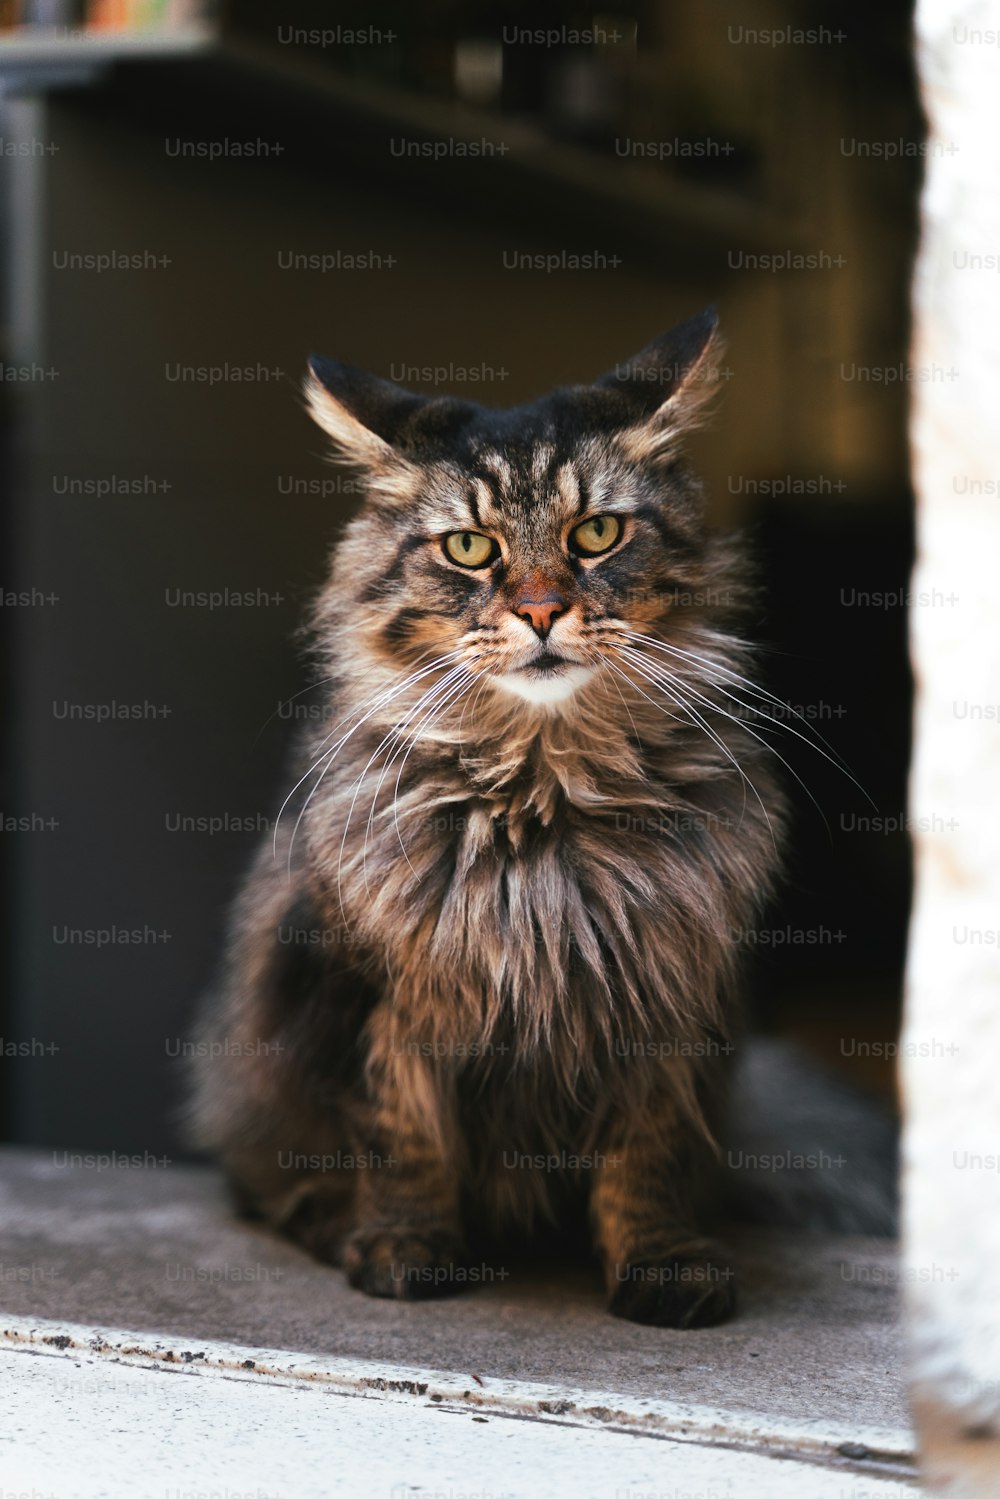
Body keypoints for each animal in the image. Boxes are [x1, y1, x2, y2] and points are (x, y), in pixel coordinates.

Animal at [191, 304, 791, 1325]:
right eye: (469, 548)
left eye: (596, 533)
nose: (543, 611)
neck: (544, 803)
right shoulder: (371, 987)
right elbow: (402, 1136)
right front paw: (406, 1247)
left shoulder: (667, 987)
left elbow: (649, 1153)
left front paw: (661, 1264)